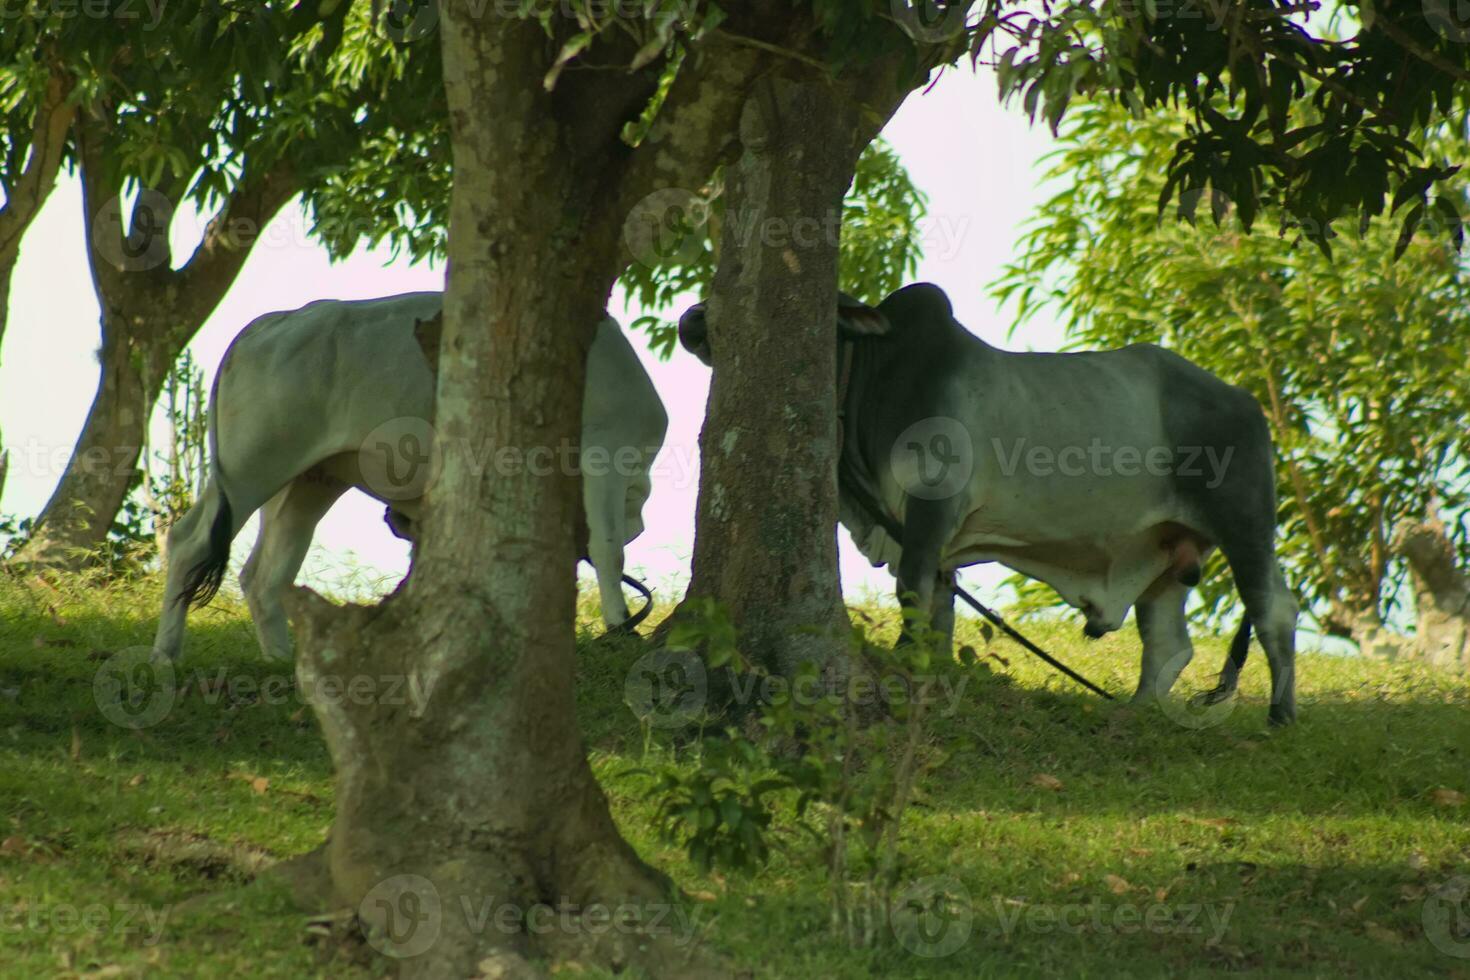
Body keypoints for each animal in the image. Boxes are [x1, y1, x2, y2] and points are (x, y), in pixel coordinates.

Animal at [152, 287, 670, 664]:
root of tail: (270, 322)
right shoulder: (604, 455)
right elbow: (608, 550)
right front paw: (620, 626)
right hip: (252, 467)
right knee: (190, 542)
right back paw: (166, 655)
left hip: (308, 483)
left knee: (262, 574)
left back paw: (280, 659)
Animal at [676, 279, 1299, 725]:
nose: (692, 319)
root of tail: (1245, 400)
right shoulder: (931, 536)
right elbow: (939, 606)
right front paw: (931, 666)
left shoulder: (931, 510)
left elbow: (912, 591)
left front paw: (904, 662)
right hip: (1165, 557)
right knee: (1169, 646)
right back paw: (1137, 714)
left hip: (1245, 526)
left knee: (1274, 611)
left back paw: (1281, 716)